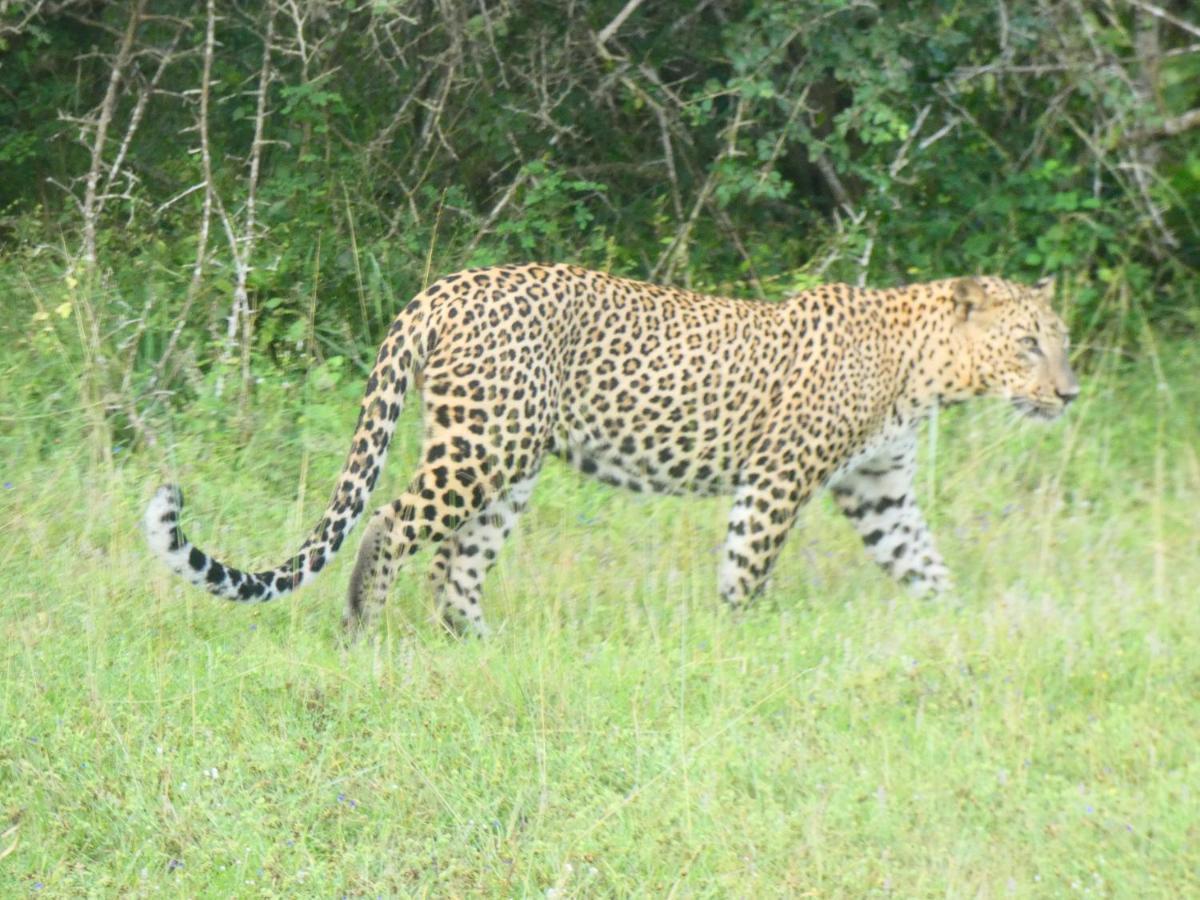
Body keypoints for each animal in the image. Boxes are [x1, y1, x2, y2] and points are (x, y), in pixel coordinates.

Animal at [142, 264, 1080, 638]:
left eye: (1060, 343)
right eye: (1029, 344)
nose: (1071, 394)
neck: (924, 371)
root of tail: (439, 289)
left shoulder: (879, 487)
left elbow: (921, 562)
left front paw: (965, 625)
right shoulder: (780, 475)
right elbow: (748, 563)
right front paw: (738, 638)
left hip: (511, 465)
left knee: (456, 564)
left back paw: (483, 645)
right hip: (480, 447)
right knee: (394, 523)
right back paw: (361, 627)